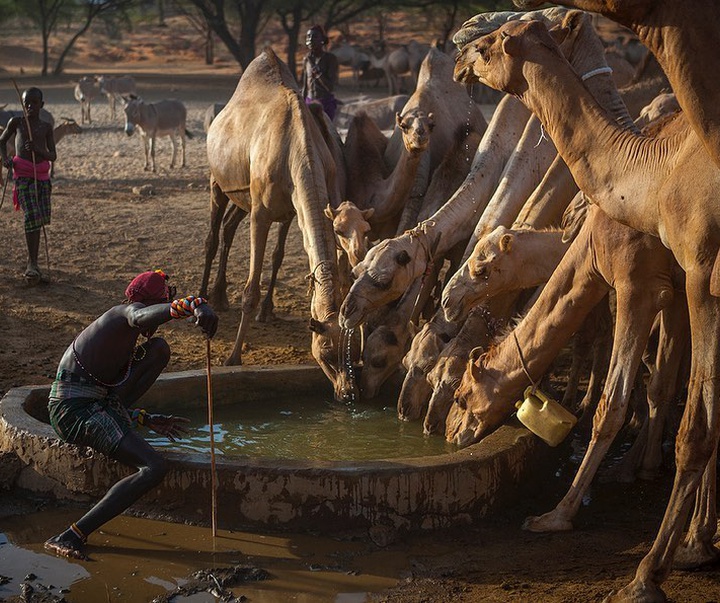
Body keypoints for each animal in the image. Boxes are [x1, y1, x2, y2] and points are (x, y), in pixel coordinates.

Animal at [205, 49, 358, 404]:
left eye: (354, 352)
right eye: (326, 355)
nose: (347, 393)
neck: (299, 152)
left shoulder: (294, 209)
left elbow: (277, 257)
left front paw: (267, 310)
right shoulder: (261, 212)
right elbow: (250, 289)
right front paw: (233, 357)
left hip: (242, 195)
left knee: (229, 227)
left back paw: (220, 297)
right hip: (217, 181)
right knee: (212, 234)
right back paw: (204, 296)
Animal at [456, 13, 720, 600]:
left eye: (461, 395)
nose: (449, 432)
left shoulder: (642, 285)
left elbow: (615, 402)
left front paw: (557, 515)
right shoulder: (672, 293)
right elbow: (660, 385)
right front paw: (686, 524)